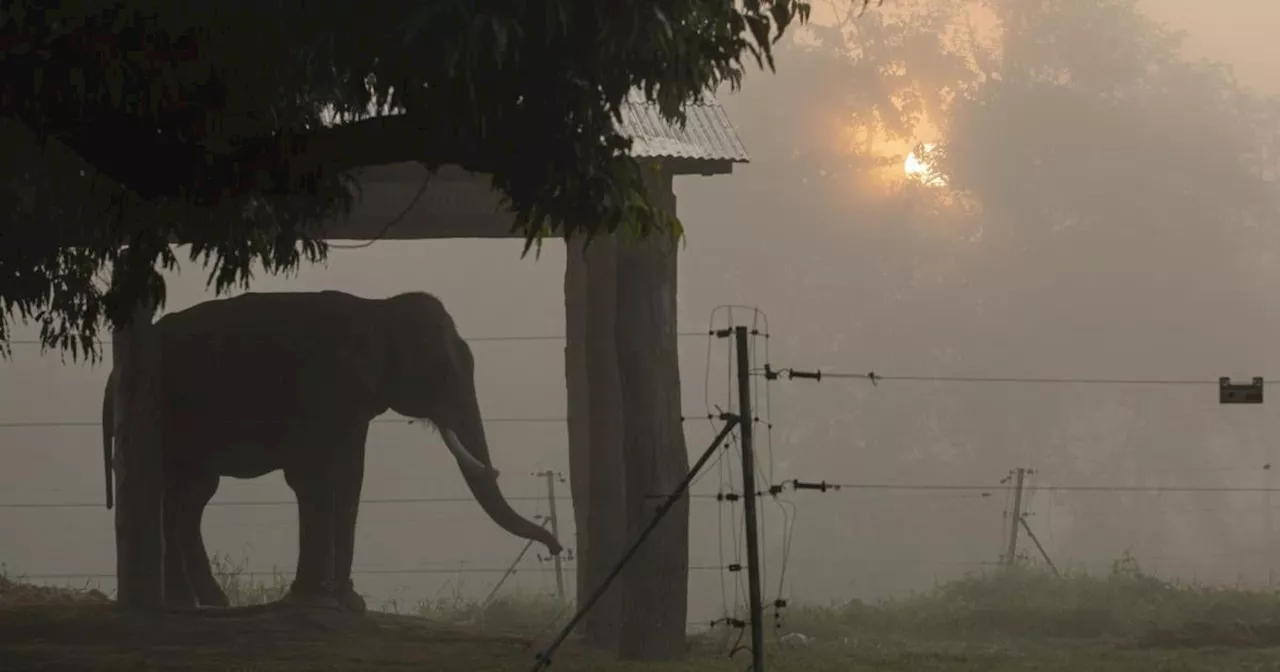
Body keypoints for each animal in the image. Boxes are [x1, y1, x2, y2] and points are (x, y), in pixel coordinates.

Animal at [99, 286, 560, 606]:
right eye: (443, 370)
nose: (557, 548)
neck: (378, 307)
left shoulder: (354, 406)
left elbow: (351, 476)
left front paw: (347, 602)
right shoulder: (322, 387)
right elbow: (310, 476)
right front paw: (308, 598)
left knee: (191, 496)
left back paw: (210, 602)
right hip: (164, 416)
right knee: (178, 495)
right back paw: (186, 603)